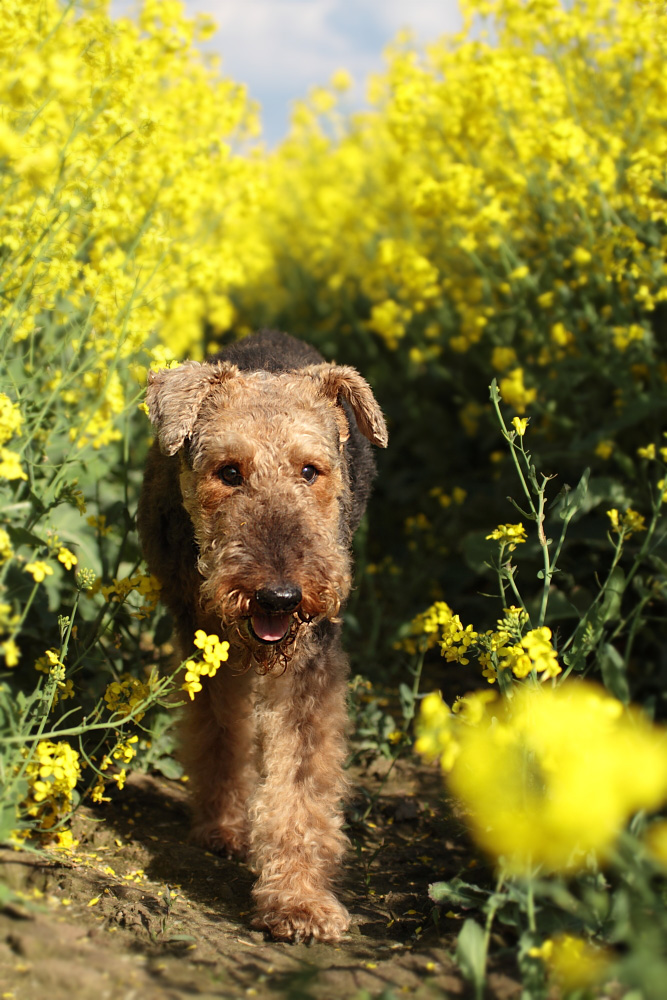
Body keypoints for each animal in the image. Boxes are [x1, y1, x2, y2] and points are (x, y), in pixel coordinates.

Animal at [137, 328, 386, 936]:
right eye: (229, 471)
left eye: (310, 471)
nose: (280, 597)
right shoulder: (205, 640)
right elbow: (219, 732)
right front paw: (222, 826)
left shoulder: (309, 664)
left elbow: (299, 782)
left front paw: (298, 902)